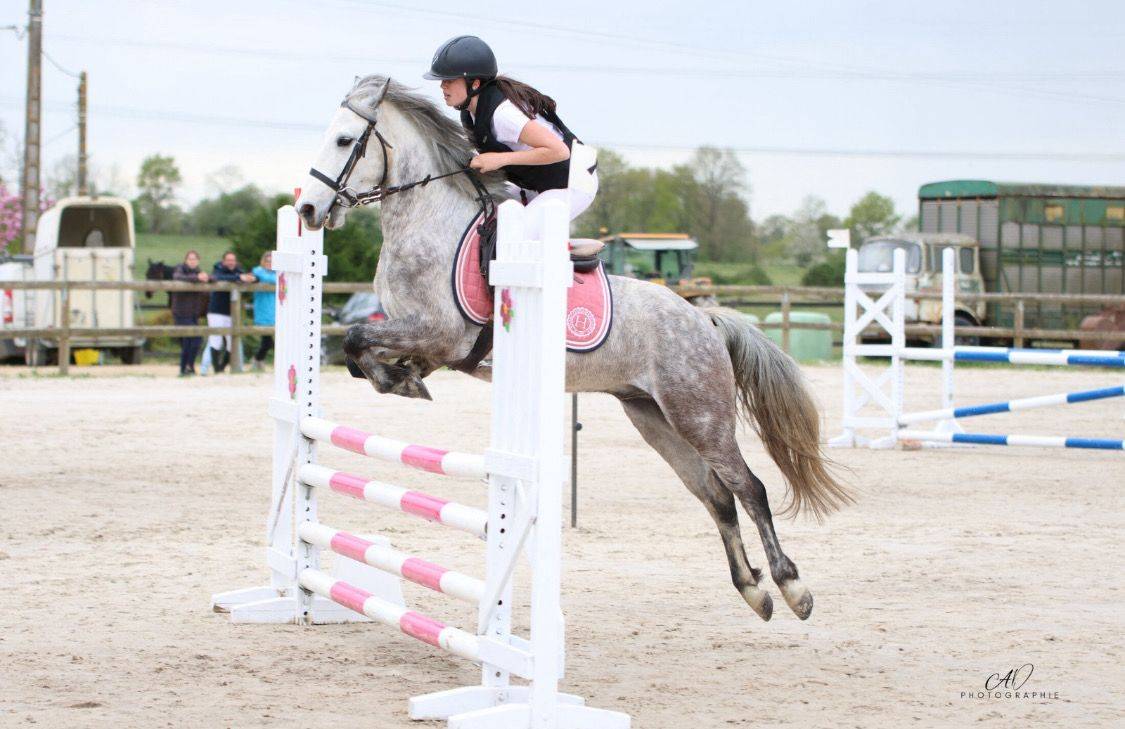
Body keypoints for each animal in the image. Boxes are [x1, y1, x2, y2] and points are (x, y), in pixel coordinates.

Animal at [295, 75, 851, 622]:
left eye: (344, 140)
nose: (307, 209)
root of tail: (704, 319)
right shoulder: (420, 337)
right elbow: (361, 352)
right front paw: (403, 379)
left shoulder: (438, 331)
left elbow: (356, 339)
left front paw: (403, 381)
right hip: (653, 416)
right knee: (716, 496)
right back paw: (753, 590)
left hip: (701, 415)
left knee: (749, 488)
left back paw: (792, 588)